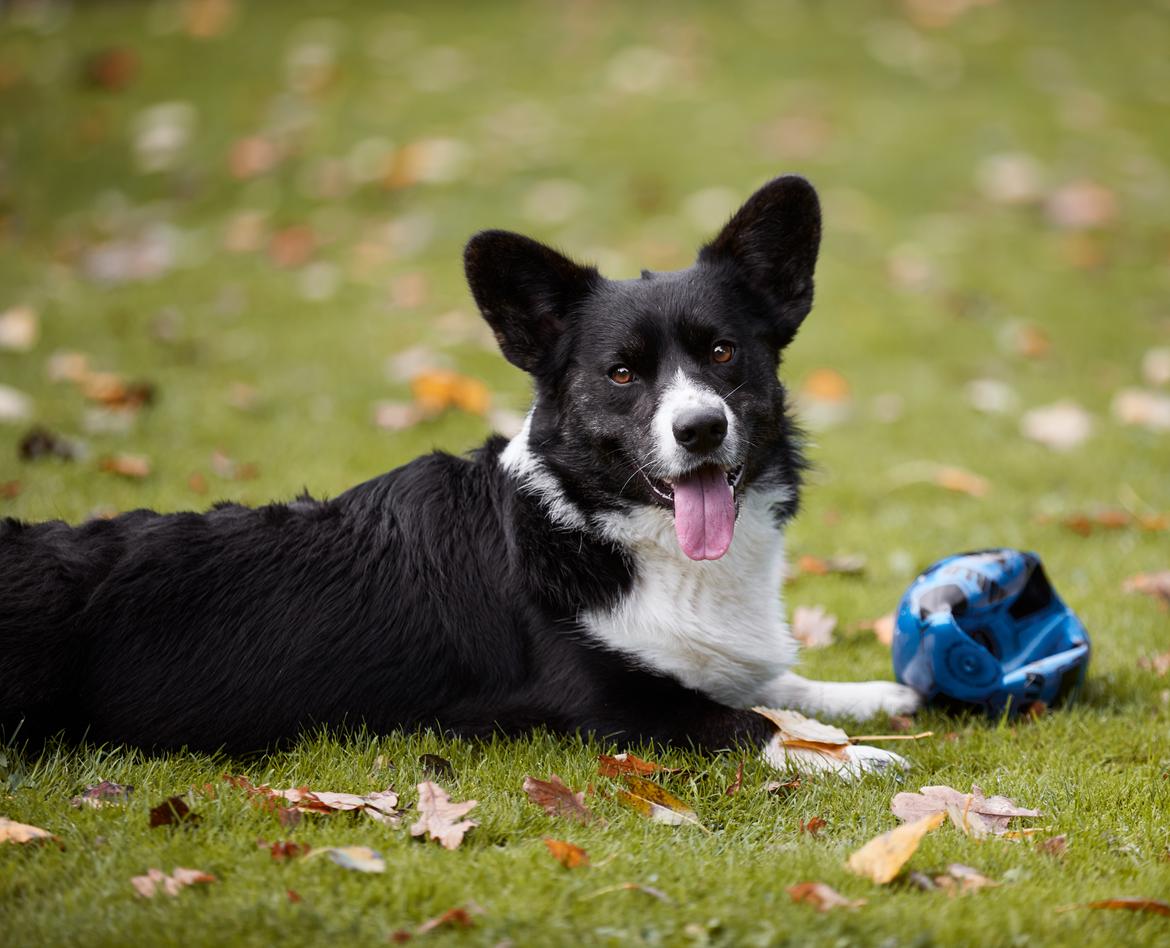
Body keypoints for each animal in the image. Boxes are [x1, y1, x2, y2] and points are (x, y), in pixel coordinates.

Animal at [4, 177, 921, 763]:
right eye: (622, 373)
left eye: (724, 353)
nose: (700, 428)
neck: (617, 532)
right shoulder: (602, 706)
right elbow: (746, 721)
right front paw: (855, 759)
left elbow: (778, 682)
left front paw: (870, 696)